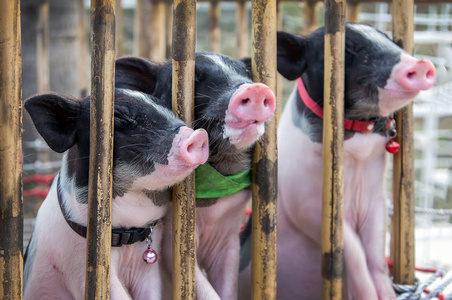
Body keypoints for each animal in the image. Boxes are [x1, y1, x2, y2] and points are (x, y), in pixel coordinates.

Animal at [23, 89, 208, 300]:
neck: (128, 234)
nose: (199, 135)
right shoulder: (79, 266)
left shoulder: (148, 270)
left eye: (166, 107)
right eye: (118, 116)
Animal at [238, 22, 436, 298]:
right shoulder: (308, 205)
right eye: (348, 48)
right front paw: (368, 295)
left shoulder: (376, 199)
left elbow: (375, 252)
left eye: (389, 39)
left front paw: (387, 294)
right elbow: (352, 251)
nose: (421, 64)